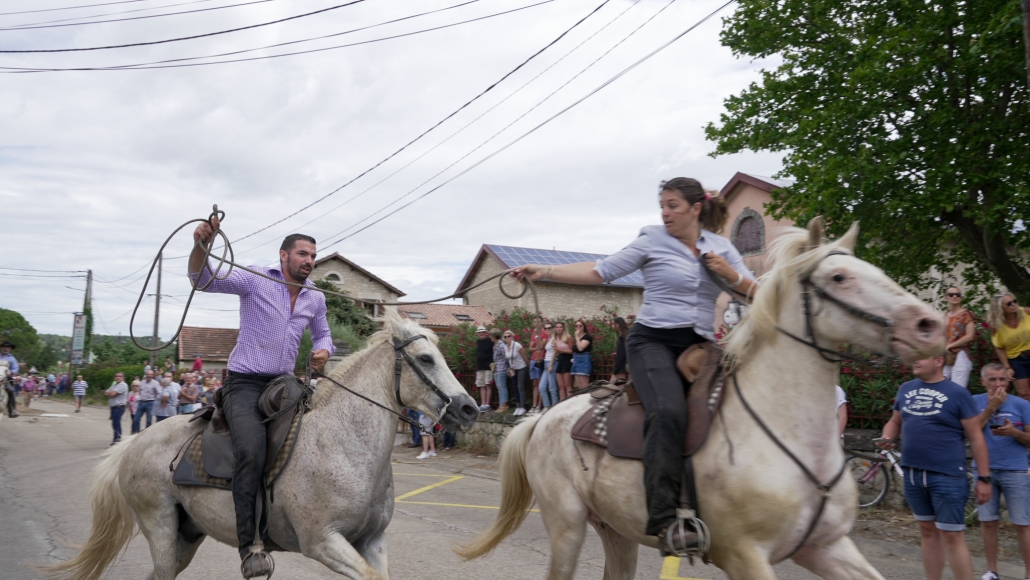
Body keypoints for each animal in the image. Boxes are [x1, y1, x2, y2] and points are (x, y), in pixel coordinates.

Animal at [46, 309, 479, 580]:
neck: (344, 444)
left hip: (186, 536)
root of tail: (134, 442)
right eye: (426, 358)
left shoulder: (371, 541)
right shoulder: (322, 542)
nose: (469, 408)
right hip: (161, 529)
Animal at [456, 219, 945, 580]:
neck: (787, 432)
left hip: (615, 529)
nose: (929, 325)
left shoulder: (824, 547)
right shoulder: (745, 555)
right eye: (839, 277)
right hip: (567, 525)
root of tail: (543, 417)